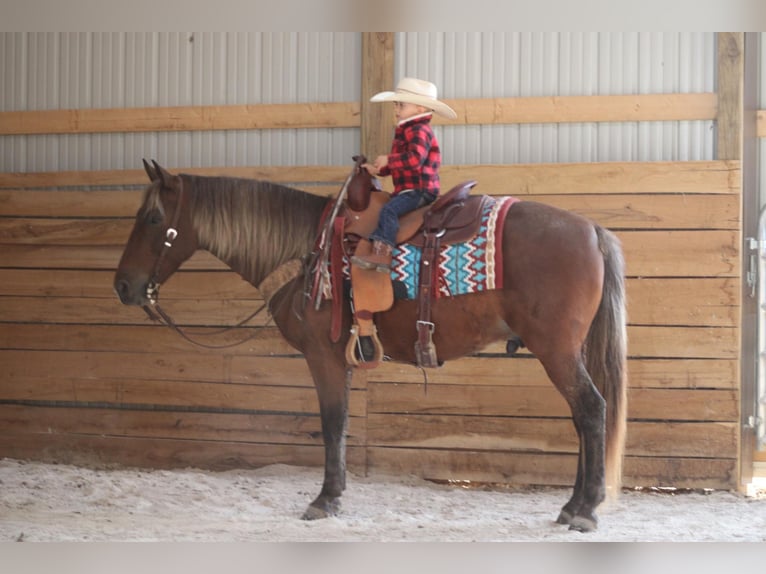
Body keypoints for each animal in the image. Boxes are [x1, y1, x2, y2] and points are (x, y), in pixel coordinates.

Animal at [115, 160, 632, 532]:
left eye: (154, 217)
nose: (122, 286)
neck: (307, 250)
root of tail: (591, 230)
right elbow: (340, 424)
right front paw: (334, 494)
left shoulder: (323, 356)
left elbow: (332, 423)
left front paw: (325, 499)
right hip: (567, 352)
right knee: (583, 417)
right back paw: (570, 505)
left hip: (557, 351)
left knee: (591, 410)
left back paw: (585, 510)